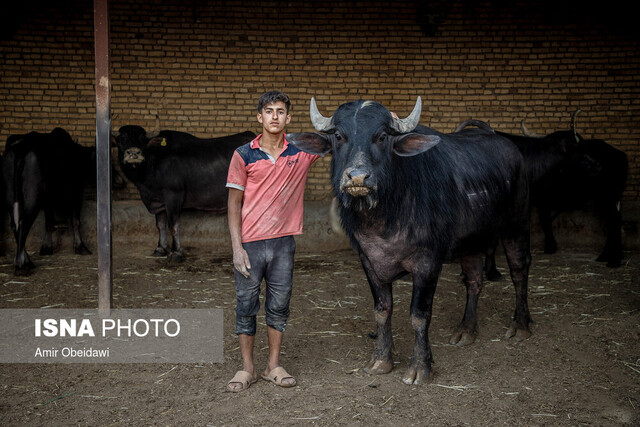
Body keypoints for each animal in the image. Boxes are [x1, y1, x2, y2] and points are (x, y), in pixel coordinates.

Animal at [1, 127, 94, 276]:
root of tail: (20, 150)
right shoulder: (76, 191)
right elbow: (75, 221)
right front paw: (81, 247)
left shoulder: (48, 199)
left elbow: (49, 222)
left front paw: (46, 247)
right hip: (33, 196)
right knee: (23, 223)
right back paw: (22, 265)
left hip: (11, 194)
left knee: (15, 224)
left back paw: (27, 261)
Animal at [112, 125, 255, 262]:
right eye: (121, 139)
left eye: (142, 139)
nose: (133, 153)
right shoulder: (158, 200)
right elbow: (160, 225)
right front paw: (160, 248)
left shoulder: (173, 196)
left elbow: (173, 225)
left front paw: (175, 253)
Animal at [288, 98, 532, 386]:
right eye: (338, 136)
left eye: (382, 136)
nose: (358, 177)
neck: (385, 217)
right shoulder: (368, 260)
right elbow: (382, 310)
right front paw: (381, 360)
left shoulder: (428, 262)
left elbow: (419, 315)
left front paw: (420, 367)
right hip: (470, 242)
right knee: (474, 280)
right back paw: (466, 330)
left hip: (517, 227)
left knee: (519, 271)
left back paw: (520, 325)